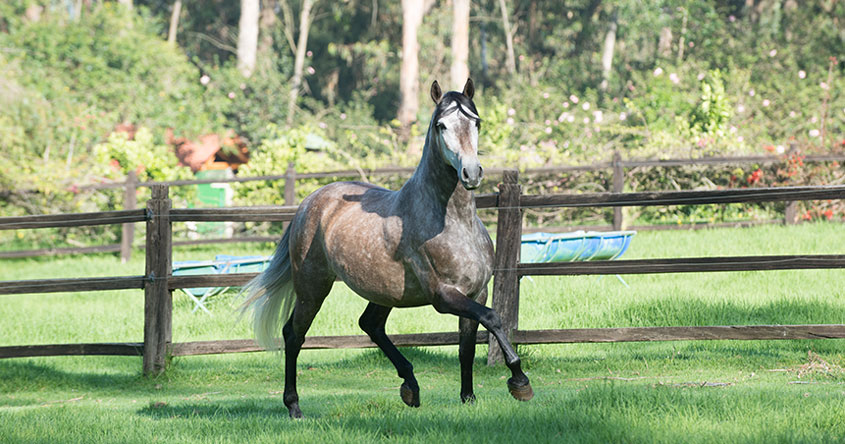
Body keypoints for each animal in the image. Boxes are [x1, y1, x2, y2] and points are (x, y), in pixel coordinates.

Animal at [244, 78, 532, 418]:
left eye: (476, 122)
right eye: (441, 125)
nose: (471, 173)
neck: (455, 223)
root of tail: (310, 202)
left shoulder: (477, 292)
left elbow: (467, 347)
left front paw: (469, 398)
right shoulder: (444, 296)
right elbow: (493, 318)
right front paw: (519, 381)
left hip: (383, 291)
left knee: (370, 325)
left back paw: (411, 386)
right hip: (312, 287)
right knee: (294, 334)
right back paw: (294, 406)